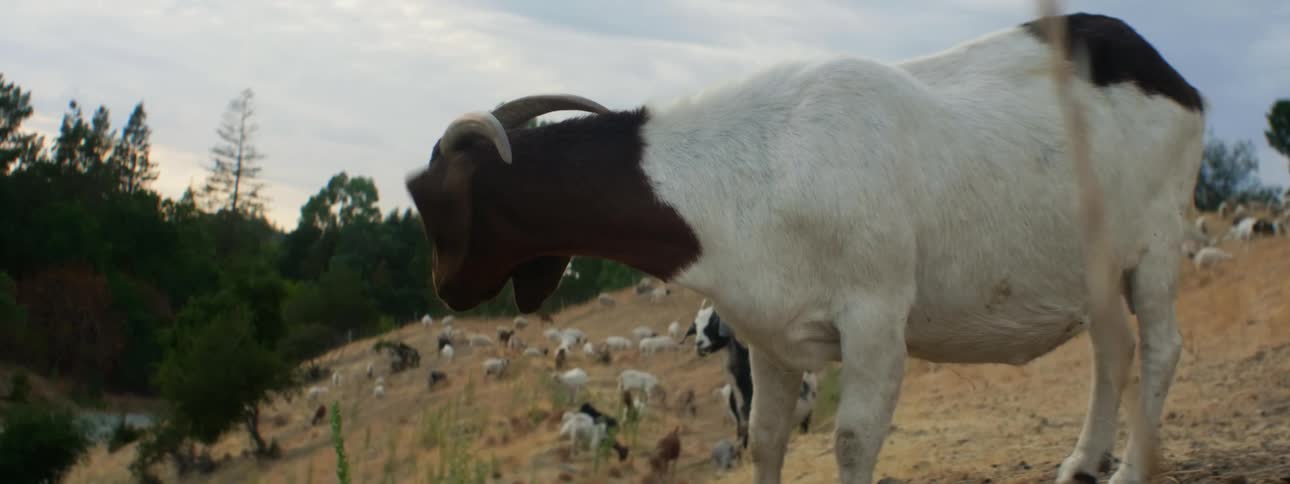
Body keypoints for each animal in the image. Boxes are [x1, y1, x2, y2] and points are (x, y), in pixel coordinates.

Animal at [406, 12, 1205, 483]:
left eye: (428, 201)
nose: (445, 290)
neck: (745, 169)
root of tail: (1174, 79)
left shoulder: (876, 316)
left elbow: (852, 440)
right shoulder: (767, 335)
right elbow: (764, 436)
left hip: (1157, 237)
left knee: (1162, 348)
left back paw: (1130, 471)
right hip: (1095, 266)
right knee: (1113, 349)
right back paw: (1083, 462)